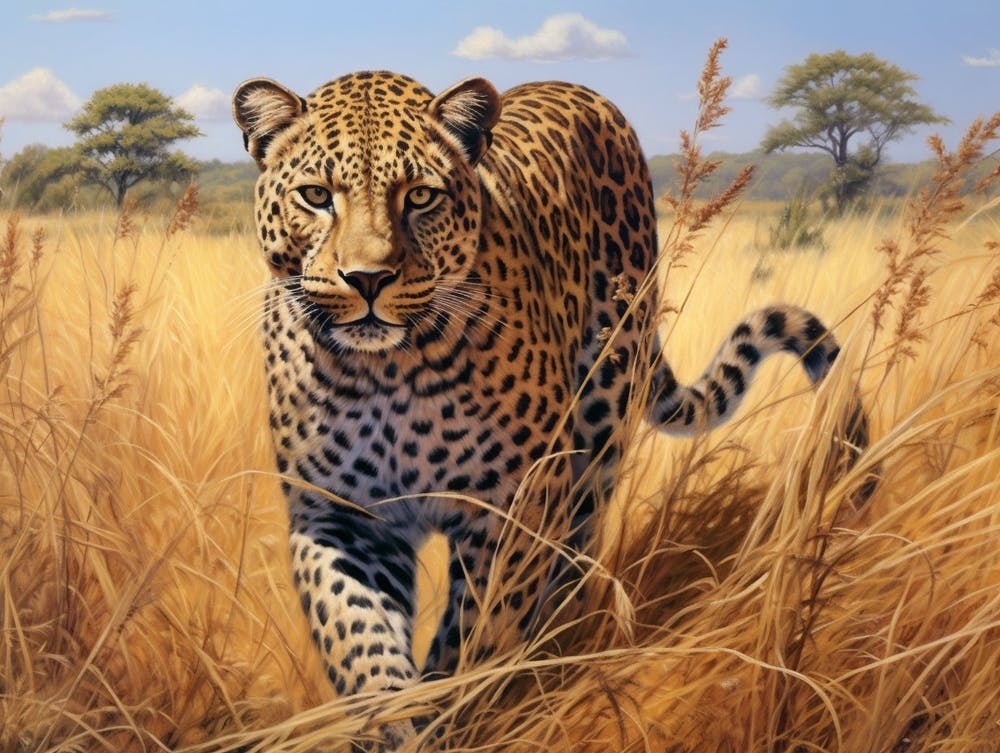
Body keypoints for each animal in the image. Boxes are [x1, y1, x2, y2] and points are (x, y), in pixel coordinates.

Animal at [232, 70, 870, 748]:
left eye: (421, 197)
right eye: (315, 196)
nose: (367, 279)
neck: (388, 370)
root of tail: (571, 85)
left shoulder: (515, 505)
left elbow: (476, 633)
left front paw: (455, 712)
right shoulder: (337, 515)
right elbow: (357, 637)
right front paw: (395, 723)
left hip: (600, 424)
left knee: (574, 558)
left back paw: (556, 658)